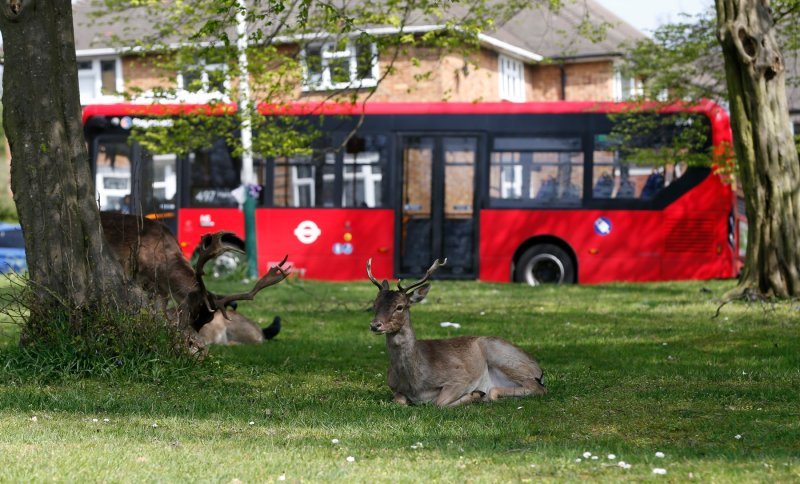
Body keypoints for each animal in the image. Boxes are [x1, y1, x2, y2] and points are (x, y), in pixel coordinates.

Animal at [98, 213, 290, 348]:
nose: (196, 342)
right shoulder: (135, 278)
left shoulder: (162, 291)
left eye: (209, 318)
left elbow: (159, 313)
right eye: (191, 312)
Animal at [368, 260, 544, 406]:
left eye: (400, 306)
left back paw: (485, 394)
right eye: (375, 304)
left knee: (536, 387)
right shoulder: (393, 387)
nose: (375, 325)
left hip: (503, 357)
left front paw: (474, 395)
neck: (415, 383)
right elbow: (399, 400)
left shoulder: (460, 377)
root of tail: (539, 370)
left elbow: (439, 403)